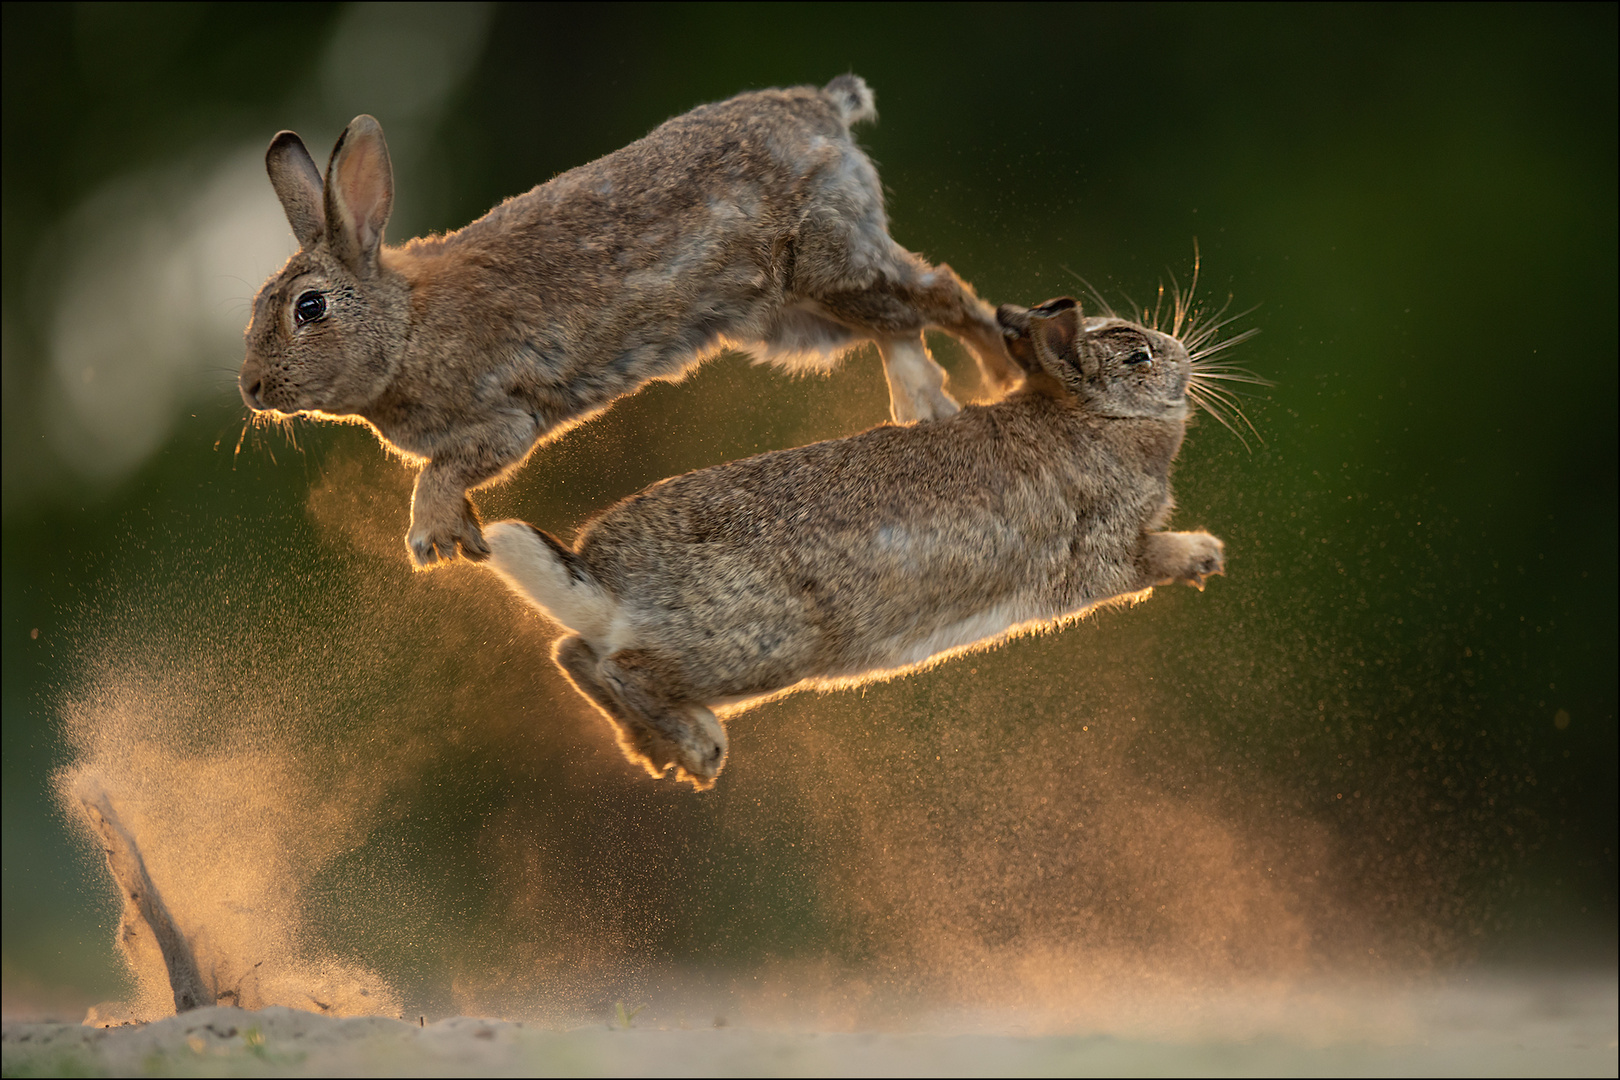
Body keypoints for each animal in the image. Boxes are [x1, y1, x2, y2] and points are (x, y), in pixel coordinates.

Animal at [239, 74, 1010, 566]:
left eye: (310, 308)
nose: (250, 388)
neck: (403, 330)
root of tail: (823, 110)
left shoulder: (498, 420)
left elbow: (442, 473)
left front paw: (431, 544)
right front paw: (464, 545)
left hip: (829, 263)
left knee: (940, 292)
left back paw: (999, 371)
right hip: (796, 317)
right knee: (898, 325)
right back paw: (924, 410)